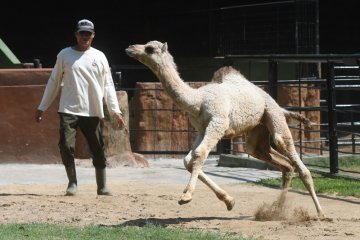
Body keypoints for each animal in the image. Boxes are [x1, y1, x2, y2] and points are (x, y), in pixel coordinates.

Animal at [125, 40, 324, 218]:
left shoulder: (218, 123)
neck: (197, 101)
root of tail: (278, 105)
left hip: (273, 115)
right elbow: (189, 159)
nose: (130, 48)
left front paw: (186, 197)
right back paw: (275, 211)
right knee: (280, 163)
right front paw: (229, 201)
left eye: (149, 49)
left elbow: (199, 154)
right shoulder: (202, 128)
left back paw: (320, 212)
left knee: (290, 153)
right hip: (257, 130)